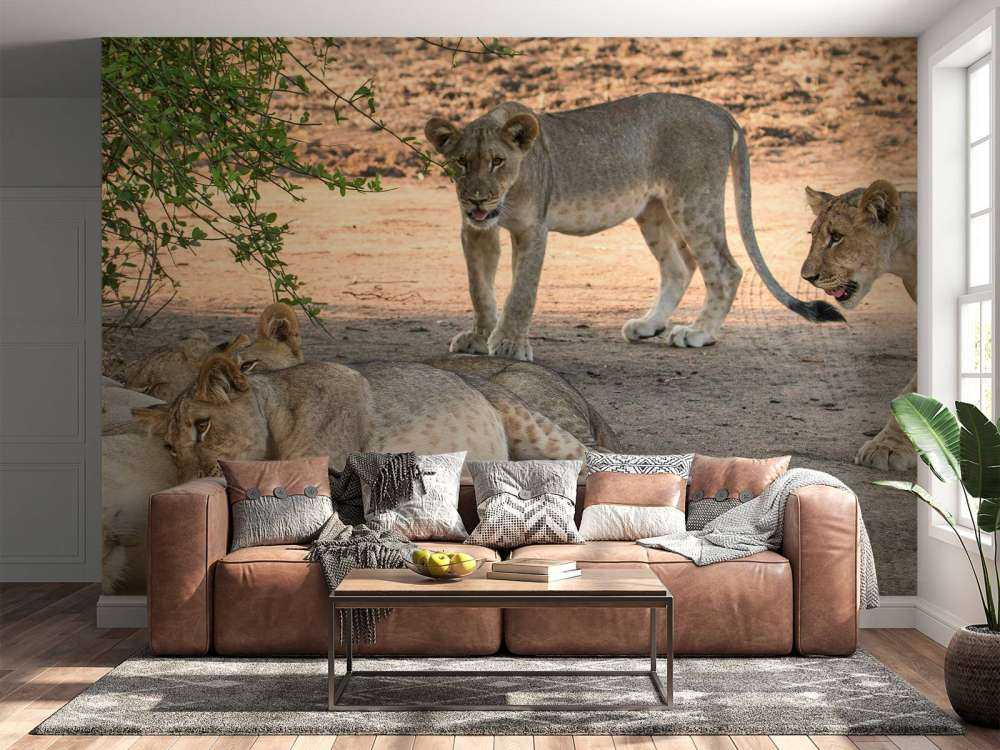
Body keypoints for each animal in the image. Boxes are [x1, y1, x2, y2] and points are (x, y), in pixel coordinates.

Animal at [424, 94, 842, 362]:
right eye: (461, 162)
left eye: (497, 161)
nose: (477, 199)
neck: (507, 194)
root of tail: (723, 112)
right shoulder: (476, 231)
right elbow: (480, 289)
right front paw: (478, 338)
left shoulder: (533, 229)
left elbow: (521, 293)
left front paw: (510, 344)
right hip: (653, 210)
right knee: (679, 267)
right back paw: (649, 325)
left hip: (693, 202)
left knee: (725, 269)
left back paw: (698, 333)